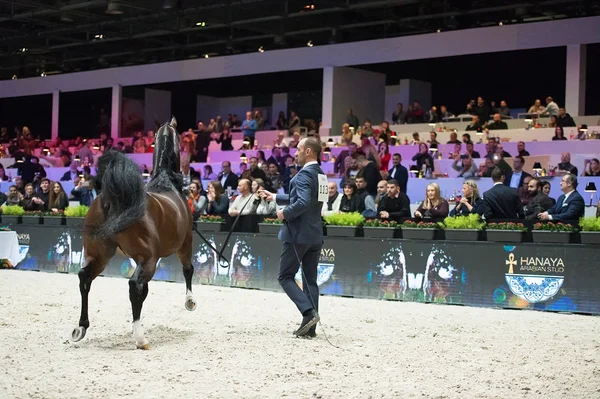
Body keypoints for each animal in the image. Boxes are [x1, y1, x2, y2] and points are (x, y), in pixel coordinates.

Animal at [71, 116, 196, 350]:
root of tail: (112, 199)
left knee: (85, 278)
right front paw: (190, 302)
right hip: (147, 259)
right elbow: (188, 270)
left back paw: (80, 328)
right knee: (133, 286)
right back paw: (140, 339)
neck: (166, 182)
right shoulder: (185, 244)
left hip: (100, 255)